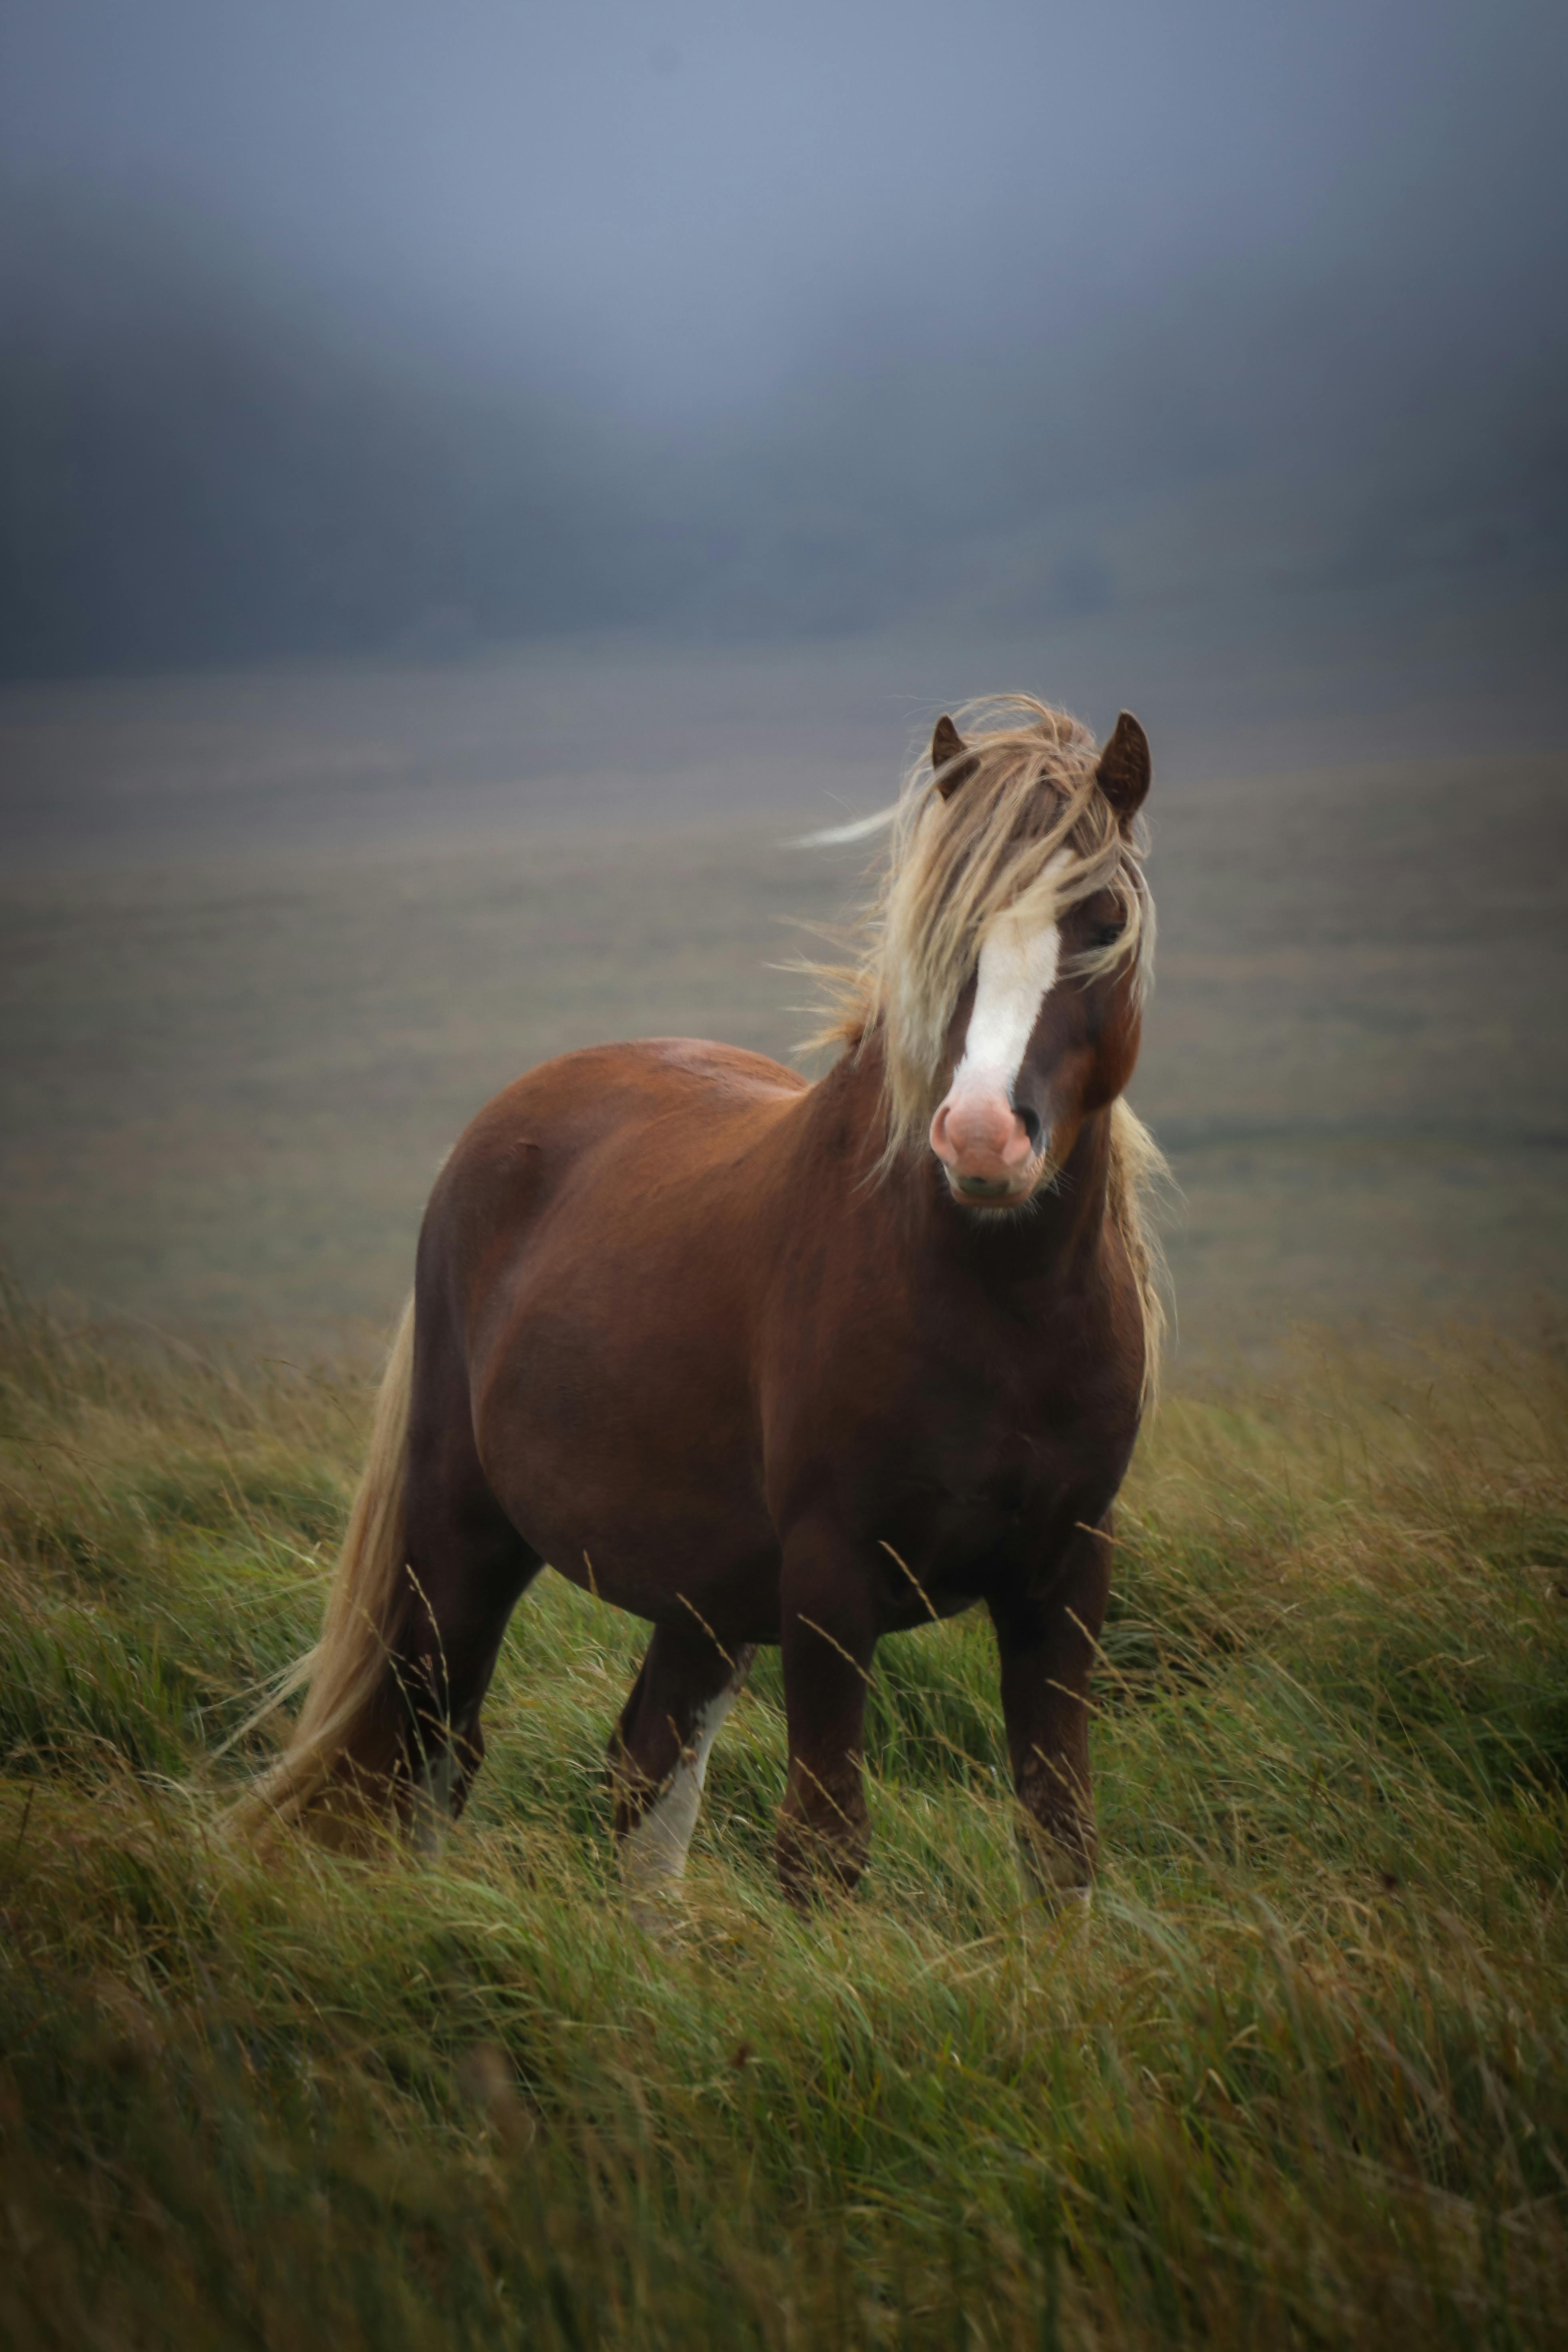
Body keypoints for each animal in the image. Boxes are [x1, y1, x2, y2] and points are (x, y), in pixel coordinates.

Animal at [245, 691, 1166, 1910]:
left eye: (1099, 918)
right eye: (943, 927)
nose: (980, 1138)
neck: (994, 1313)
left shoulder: (1063, 1577)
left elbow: (1060, 1844)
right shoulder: (829, 1581)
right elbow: (823, 1849)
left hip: (705, 1589)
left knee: (645, 1771)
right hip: (461, 1538)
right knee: (436, 1748)